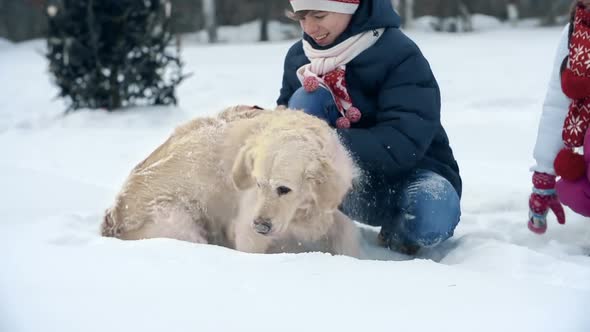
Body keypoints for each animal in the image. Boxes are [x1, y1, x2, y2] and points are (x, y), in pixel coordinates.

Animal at [101, 105, 360, 258]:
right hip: (178, 221)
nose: (261, 226)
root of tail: (113, 218)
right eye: (258, 184)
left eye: (284, 189)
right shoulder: (247, 228)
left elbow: (347, 229)